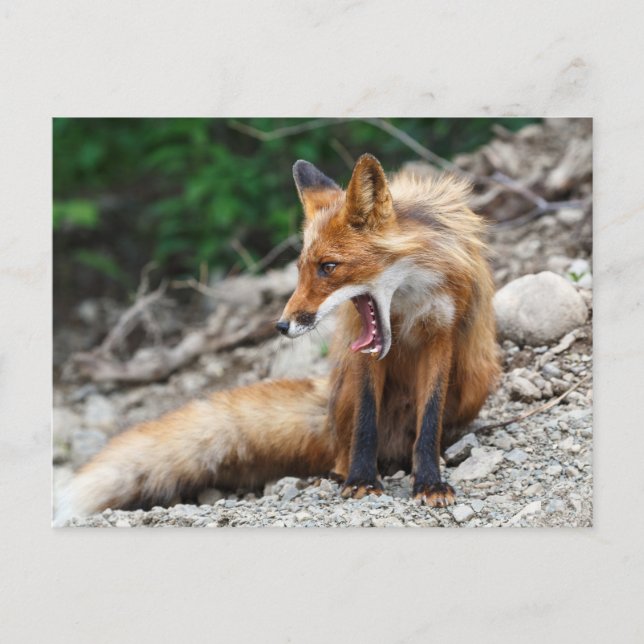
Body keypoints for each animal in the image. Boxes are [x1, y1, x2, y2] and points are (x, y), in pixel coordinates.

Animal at [55, 153, 500, 524]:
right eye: (300, 269)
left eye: (328, 267)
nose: (282, 326)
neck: (407, 301)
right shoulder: (364, 348)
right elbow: (365, 423)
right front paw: (361, 479)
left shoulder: (440, 336)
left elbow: (429, 422)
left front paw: (429, 482)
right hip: (344, 393)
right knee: (344, 444)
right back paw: (346, 470)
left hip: (477, 379)